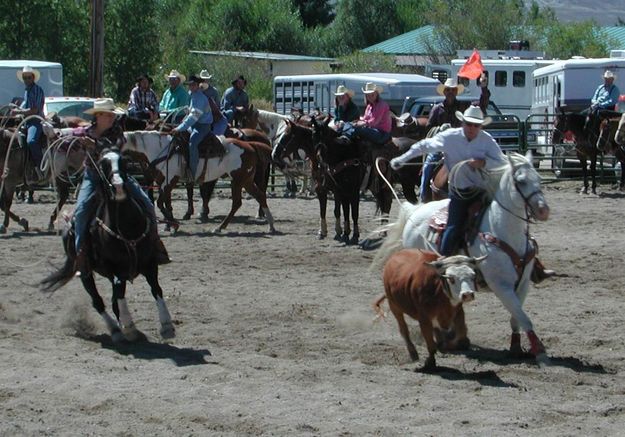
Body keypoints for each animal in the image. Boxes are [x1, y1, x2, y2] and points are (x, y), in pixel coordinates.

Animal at [40, 148, 176, 342]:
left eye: (124, 162)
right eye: (103, 165)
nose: (118, 186)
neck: (127, 230)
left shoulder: (150, 264)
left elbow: (156, 289)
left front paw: (167, 325)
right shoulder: (116, 270)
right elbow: (119, 294)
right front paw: (129, 328)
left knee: (113, 300)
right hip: (85, 272)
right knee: (98, 302)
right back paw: (116, 330)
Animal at [372, 152, 548, 362]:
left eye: (539, 178)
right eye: (520, 181)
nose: (543, 210)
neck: (502, 230)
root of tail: (415, 211)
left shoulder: (522, 285)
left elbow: (517, 317)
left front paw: (516, 348)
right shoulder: (501, 285)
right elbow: (523, 317)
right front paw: (539, 350)